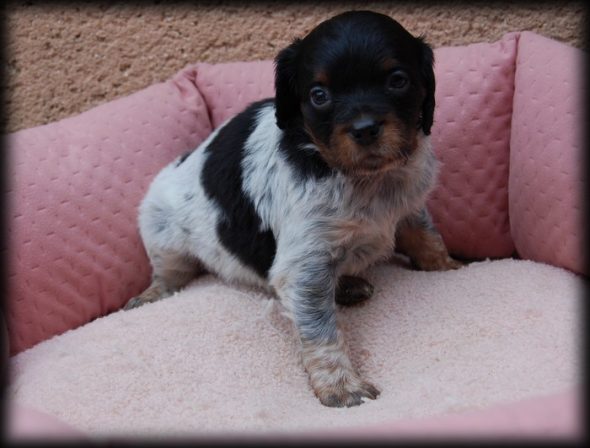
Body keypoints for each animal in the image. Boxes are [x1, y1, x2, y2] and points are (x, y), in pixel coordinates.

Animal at [127, 12, 464, 408]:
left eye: (398, 80)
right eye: (319, 95)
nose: (365, 129)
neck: (362, 179)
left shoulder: (410, 205)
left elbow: (426, 237)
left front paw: (450, 267)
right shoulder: (305, 262)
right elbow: (319, 328)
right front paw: (341, 386)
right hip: (163, 232)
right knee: (169, 274)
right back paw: (150, 295)